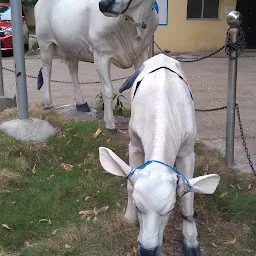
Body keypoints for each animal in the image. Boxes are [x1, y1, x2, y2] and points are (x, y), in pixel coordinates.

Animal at [34, 0, 158, 132]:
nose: (103, 5)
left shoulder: (142, 51)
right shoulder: (100, 55)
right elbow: (107, 89)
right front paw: (110, 125)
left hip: (72, 46)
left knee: (72, 69)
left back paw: (81, 103)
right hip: (45, 43)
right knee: (47, 70)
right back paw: (48, 104)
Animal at [98, 53, 220, 254]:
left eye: (169, 210)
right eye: (138, 206)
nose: (148, 251)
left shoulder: (188, 151)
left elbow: (188, 196)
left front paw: (191, 242)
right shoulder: (134, 145)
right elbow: (129, 184)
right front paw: (128, 218)